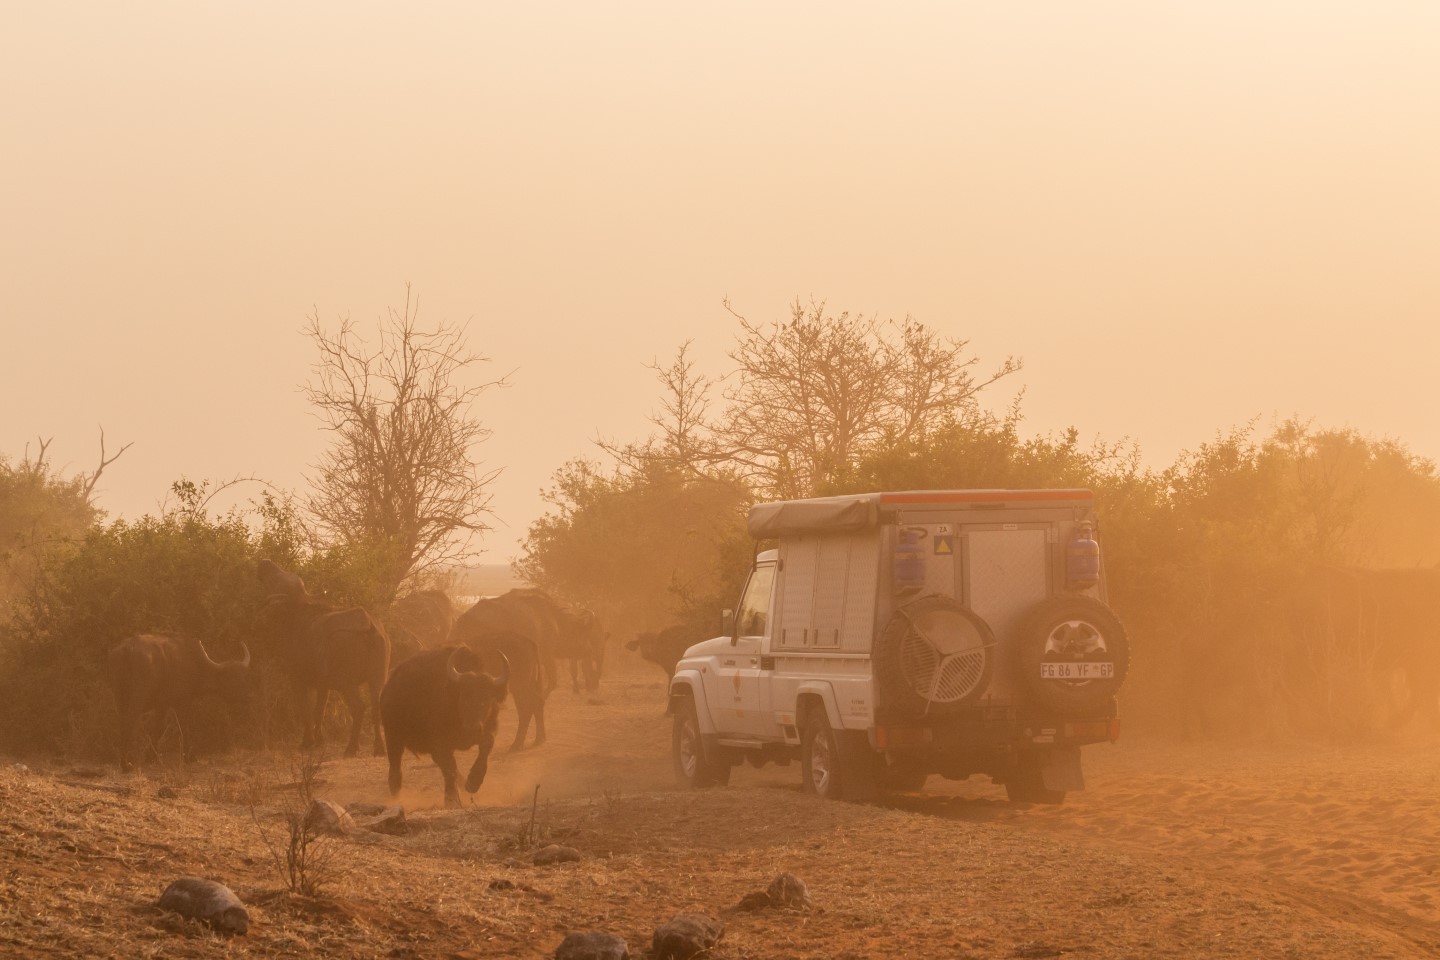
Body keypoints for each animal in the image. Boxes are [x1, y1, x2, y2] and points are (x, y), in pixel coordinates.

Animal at [110, 630, 252, 771]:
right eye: (231, 678)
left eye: (243, 676)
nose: (247, 696)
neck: (194, 660)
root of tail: (128, 648)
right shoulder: (183, 702)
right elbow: (184, 726)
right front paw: (189, 757)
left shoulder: (162, 705)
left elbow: (159, 728)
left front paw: (152, 757)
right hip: (138, 696)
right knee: (130, 721)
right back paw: (126, 764)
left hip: (120, 697)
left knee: (122, 722)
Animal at [253, 564, 388, 759]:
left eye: (277, 578)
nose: (265, 562)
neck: (296, 618)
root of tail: (367, 623)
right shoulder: (323, 686)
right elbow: (319, 711)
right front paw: (319, 740)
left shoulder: (298, 680)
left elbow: (305, 710)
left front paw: (307, 742)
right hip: (378, 677)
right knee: (376, 706)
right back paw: (379, 747)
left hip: (348, 683)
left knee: (359, 708)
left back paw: (351, 747)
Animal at [383, 641, 512, 805]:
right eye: (464, 697)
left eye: (486, 700)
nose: (472, 728)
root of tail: (388, 687)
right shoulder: (440, 744)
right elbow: (450, 768)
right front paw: (452, 799)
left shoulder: (489, 728)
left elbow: (485, 746)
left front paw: (473, 782)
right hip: (393, 738)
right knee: (395, 771)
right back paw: (396, 798)